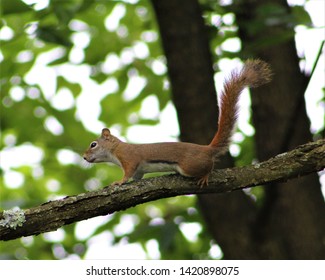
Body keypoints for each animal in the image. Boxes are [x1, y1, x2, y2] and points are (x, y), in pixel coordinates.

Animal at [83, 59, 270, 186]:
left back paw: (205, 176)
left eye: (93, 144)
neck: (116, 149)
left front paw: (119, 182)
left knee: (208, 167)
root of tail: (207, 149)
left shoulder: (129, 158)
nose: (84, 157)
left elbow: (127, 173)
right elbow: (136, 177)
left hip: (189, 167)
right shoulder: (139, 171)